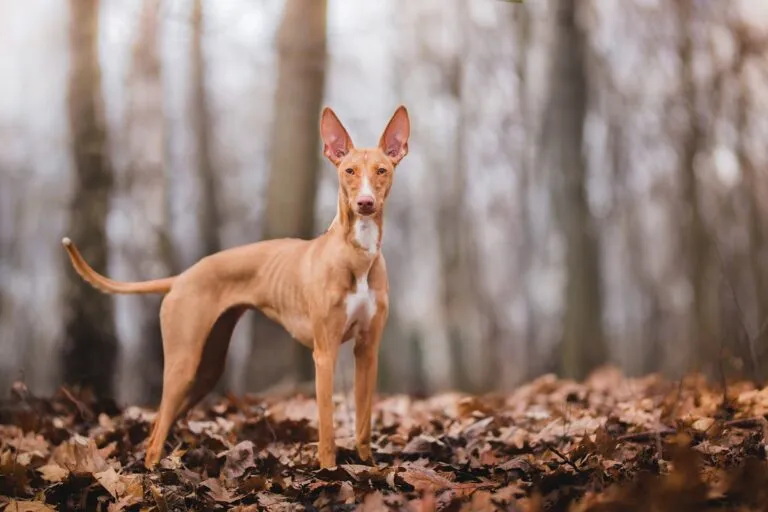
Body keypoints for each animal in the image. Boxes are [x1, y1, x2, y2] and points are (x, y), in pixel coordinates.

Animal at [63, 106, 412, 470]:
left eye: (382, 170)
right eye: (349, 171)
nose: (365, 203)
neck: (356, 254)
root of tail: (182, 277)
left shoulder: (367, 350)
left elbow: (363, 424)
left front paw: (366, 468)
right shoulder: (325, 353)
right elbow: (328, 430)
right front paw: (330, 472)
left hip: (207, 369)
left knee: (158, 426)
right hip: (183, 364)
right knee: (155, 435)